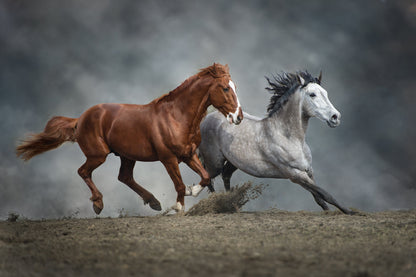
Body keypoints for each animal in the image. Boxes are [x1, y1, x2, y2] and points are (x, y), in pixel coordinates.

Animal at [17, 63, 244, 213]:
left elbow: (205, 177)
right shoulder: (168, 158)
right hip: (98, 155)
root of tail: (80, 118)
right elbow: (179, 184)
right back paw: (98, 204)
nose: (238, 117)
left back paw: (153, 202)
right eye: (225, 88)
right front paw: (178, 206)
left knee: (124, 177)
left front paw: (191, 191)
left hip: (127, 156)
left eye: (235, 87)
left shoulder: (188, 154)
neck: (177, 116)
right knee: (83, 171)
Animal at [199, 70, 354, 213]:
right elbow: (325, 194)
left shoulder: (308, 171)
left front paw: (329, 211)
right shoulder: (294, 174)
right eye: (312, 94)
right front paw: (349, 211)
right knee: (208, 178)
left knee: (225, 175)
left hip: (234, 162)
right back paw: (217, 203)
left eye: (325, 93)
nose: (335, 117)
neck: (289, 138)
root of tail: (207, 118)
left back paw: (232, 205)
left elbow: (319, 197)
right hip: (214, 162)